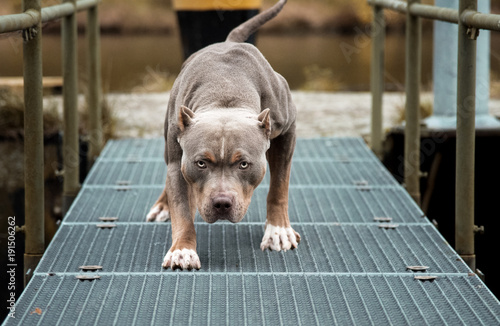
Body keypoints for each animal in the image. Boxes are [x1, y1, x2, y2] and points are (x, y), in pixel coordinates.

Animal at [146, 0, 300, 270]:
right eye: (201, 163)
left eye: (244, 164)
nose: (221, 203)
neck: (225, 91)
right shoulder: (179, 161)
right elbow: (181, 209)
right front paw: (182, 250)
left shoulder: (287, 130)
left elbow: (279, 186)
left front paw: (278, 231)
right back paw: (164, 205)